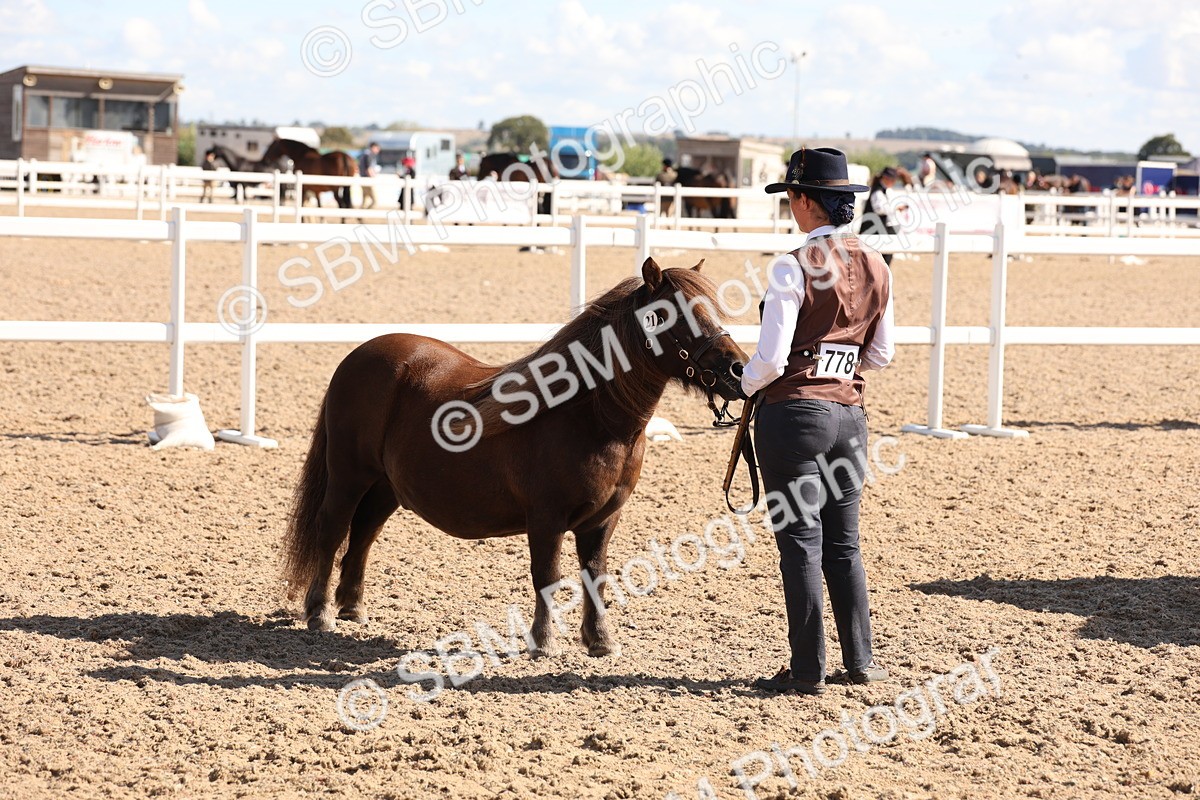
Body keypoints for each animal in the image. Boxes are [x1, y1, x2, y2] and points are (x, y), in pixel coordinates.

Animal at [282, 258, 748, 656]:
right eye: (673, 315)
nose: (739, 368)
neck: (587, 415)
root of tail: (359, 355)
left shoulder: (603, 520)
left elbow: (594, 575)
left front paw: (600, 642)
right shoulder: (546, 517)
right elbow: (548, 577)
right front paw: (543, 643)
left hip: (386, 487)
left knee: (363, 533)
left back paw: (352, 607)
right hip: (349, 475)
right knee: (332, 529)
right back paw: (320, 613)